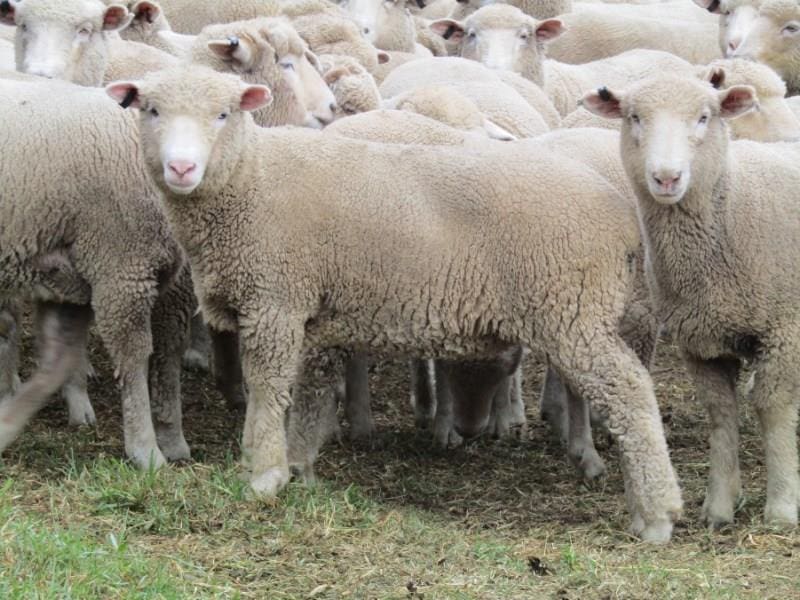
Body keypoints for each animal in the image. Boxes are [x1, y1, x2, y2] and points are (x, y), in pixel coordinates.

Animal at [0, 77, 194, 469]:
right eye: (154, 109)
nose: (183, 167)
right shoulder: (122, 273)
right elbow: (136, 358)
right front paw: (147, 451)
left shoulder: (74, 279)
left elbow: (58, 358)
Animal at [107, 65, 683, 541]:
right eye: (151, 110)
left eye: (223, 114)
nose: (182, 168)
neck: (249, 183)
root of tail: (620, 215)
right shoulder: (313, 310)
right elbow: (312, 394)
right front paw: (300, 467)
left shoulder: (276, 301)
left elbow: (268, 389)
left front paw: (263, 474)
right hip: (575, 313)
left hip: (572, 311)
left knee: (632, 393)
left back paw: (655, 514)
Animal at [582, 73, 800, 530]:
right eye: (634, 117)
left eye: (704, 117)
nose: (666, 178)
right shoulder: (700, 340)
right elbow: (720, 414)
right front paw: (719, 507)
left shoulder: (785, 328)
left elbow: (773, 407)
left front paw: (782, 507)